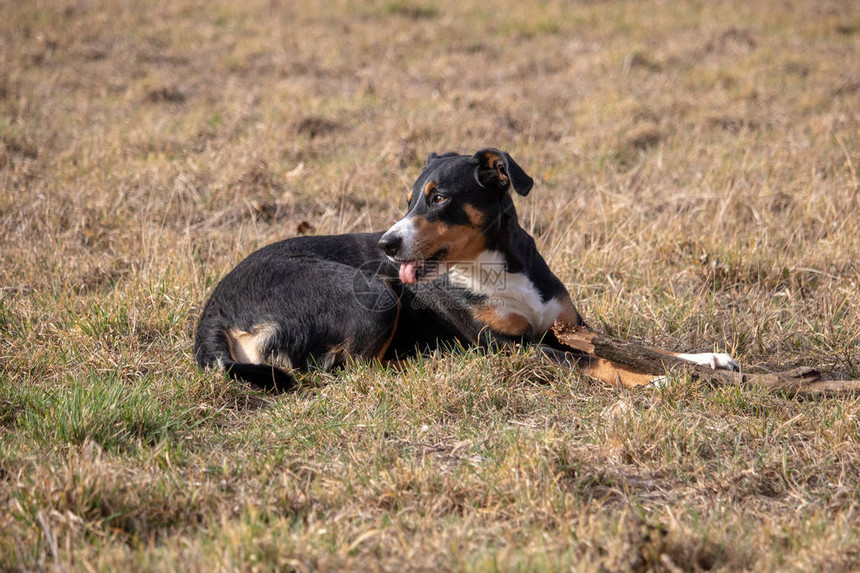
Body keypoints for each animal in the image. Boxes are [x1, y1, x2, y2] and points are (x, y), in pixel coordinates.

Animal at [195, 146, 740, 394]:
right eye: (410, 200)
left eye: (437, 199)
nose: (387, 245)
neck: (495, 268)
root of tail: (214, 308)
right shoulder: (515, 348)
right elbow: (601, 363)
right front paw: (661, 383)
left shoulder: (571, 326)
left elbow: (640, 347)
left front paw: (706, 360)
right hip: (375, 295)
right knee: (340, 371)